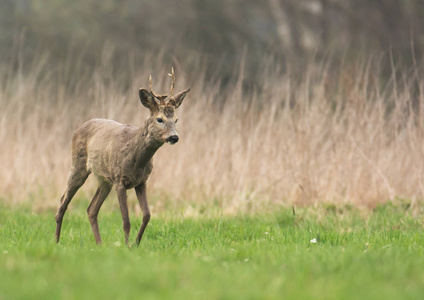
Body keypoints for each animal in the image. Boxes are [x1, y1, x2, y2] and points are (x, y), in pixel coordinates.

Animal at [54, 68, 190, 246]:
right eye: (159, 119)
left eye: (176, 119)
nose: (174, 137)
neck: (136, 158)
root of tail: (79, 127)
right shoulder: (119, 180)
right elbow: (126, 220)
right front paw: (126, 246)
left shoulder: (142, 182)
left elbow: (147, 215)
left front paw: (135, 244)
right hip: (78, 164)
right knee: (63, 201)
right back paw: (56, 241)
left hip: (104, 180)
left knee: (91, 209)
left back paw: (99, 244)